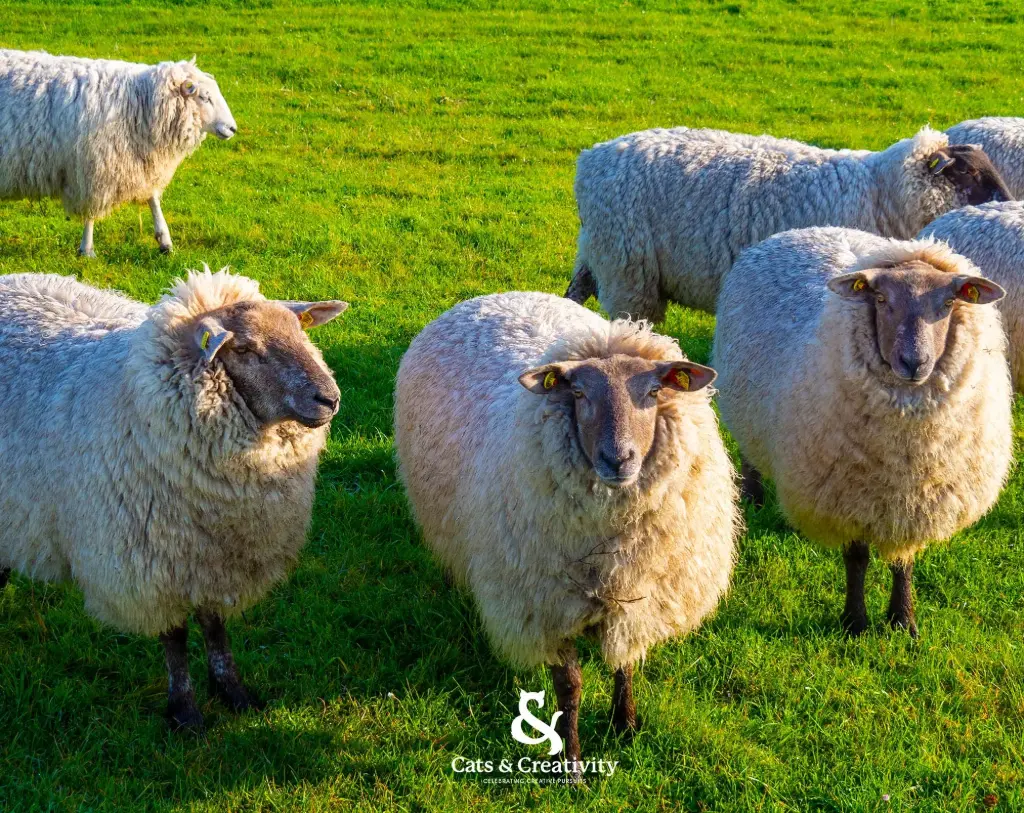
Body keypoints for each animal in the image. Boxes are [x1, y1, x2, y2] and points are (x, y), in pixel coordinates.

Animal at [0, 49, 237, 257]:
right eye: (205, 98)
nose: (233, 128)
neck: (138, 102)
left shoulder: (141, 161)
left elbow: (153, 199)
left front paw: (165, 241)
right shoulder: (93, 167)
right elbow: (91, 212)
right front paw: (87, 249)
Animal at [0, 267, 347, 731]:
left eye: (300, 330)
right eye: (245, 349)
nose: (330, 398)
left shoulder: (215, 559)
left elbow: (215, 628)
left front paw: (232, 691)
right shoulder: (152, 561)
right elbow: (175, 637)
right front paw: (185, 710)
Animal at [394, 291, 739, 775]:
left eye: (654, 391)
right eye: (578, 393)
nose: (619, 459)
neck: (609, 540)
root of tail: (494, 296)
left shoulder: (636, 599)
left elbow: (625, 665)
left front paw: (624, 725)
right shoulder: (545, 607)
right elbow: (570, 689)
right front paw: (571, 764)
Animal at [565, 126, 1012, 319]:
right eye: (968, 173)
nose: (1010, 204)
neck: (881, 191)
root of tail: (592, 158)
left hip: (597, 252)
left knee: (574, 293)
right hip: (628, 269)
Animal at [712, 227, 1013, 638]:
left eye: (950, 301)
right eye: (881, 299)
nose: (914, 362)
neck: (907, 448)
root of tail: (801, 230)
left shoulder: (912, 502)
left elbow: (904, 561)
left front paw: (903, 620)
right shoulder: (848, 493)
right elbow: (856, 558)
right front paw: (855, 622)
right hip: (743, 401)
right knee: (749, 450)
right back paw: (753, 495)